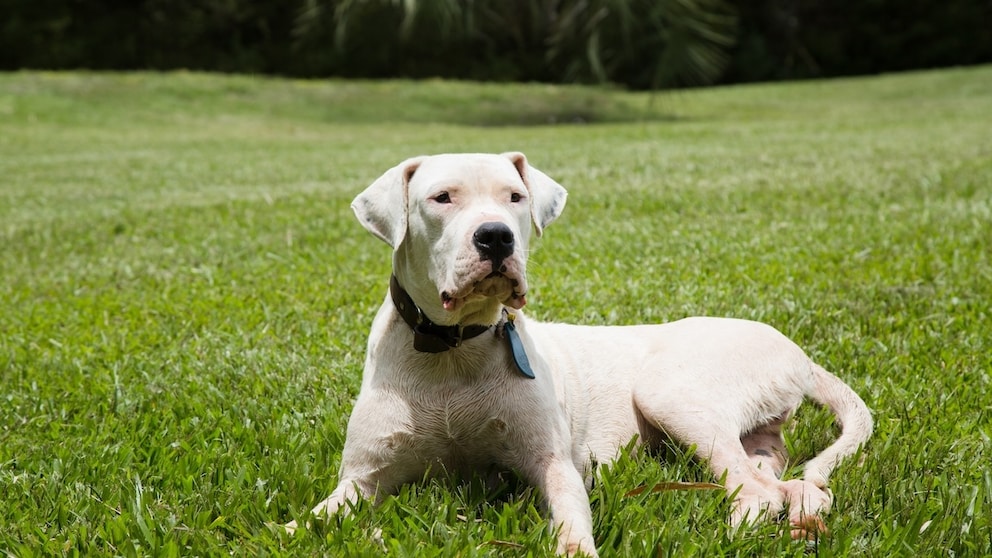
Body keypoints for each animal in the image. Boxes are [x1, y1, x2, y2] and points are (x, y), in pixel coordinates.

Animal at [284, 153, 868, 558]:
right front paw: (290, 529)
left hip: (668, 392)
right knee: (790, 485)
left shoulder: (553, 464)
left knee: (757, 492)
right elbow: (310, 520)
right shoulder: (362, 479)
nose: (495, 237)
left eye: (515, 196)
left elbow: (569, 522)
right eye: (442, 197)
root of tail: (794, 350)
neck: (454, 349)